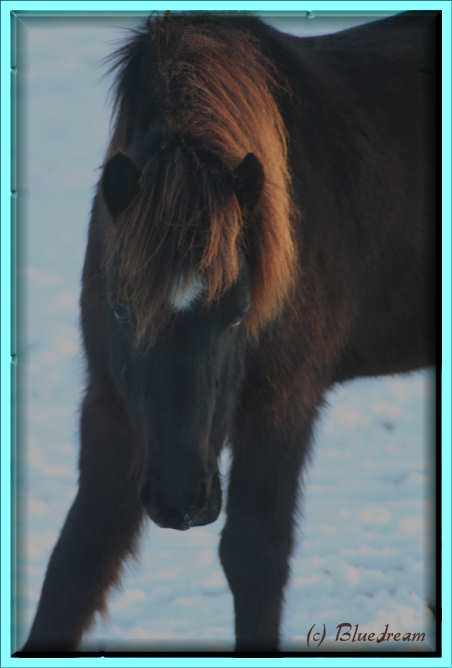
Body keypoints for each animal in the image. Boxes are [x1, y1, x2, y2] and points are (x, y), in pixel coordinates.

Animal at [22, 10, 438, 656]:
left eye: (239, 311)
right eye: (120, 309)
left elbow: (254, 557)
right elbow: (78, 562)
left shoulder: (284, 402)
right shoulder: (110, 405)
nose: (177, 497)